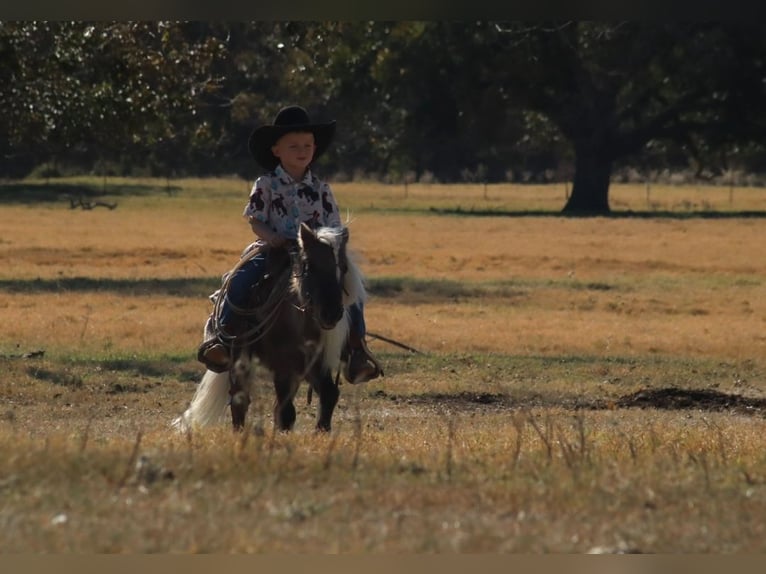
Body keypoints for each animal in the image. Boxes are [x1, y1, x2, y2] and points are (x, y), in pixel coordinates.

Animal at [172, 222, 366, 433]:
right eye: (309, 266)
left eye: (344, 268)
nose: (331, 313)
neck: (298, 323)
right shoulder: (281, 366)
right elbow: (285, 411)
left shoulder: (314, 363)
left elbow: (328, 394)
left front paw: (321, 432)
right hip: (240, 356)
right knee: (239, 399)